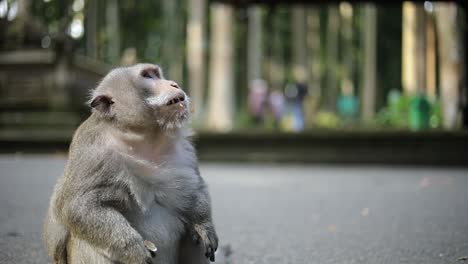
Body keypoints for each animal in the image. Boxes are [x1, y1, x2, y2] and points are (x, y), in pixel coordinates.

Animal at [43, 64, 218, 264]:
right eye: (147, 76)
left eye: (156, 74)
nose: (174, 84)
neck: (145, 138)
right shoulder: (94, 154)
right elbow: (78, 206)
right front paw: (133, 248)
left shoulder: (186, 150)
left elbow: (195, 188)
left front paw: (203, 224)